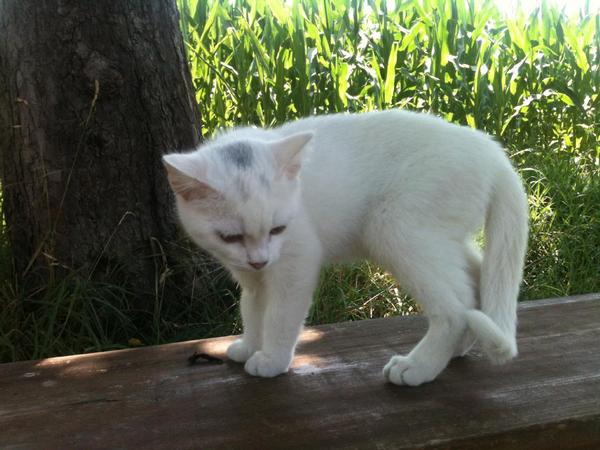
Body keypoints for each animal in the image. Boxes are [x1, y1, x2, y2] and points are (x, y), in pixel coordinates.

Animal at [165, 110, 528, 386]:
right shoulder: (252, 278)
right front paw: (250, 346)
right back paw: (457, 348)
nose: (259, 260)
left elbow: (279, 317)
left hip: (395, 229)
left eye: (278, 229)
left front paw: (271, 359)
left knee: (457, 307)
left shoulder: (296, 263)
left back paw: (418, 366)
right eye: (230, 237)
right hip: (440, 240)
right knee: (478, 283)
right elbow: (253, 311)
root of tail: (492, 151)